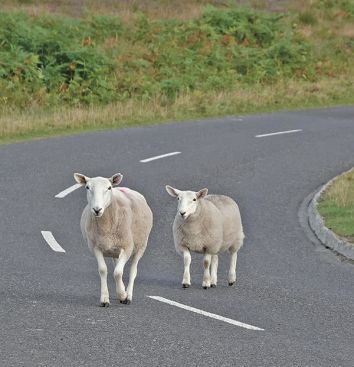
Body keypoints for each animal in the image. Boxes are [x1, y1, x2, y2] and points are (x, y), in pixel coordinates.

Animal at [74, 174, 152, 306]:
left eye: (109, 187)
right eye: (87, 187)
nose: (97, 209)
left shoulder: (127, 247)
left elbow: (118, 273)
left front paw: (123, 295)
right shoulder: (95, 247)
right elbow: (103, 270)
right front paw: (105, 299)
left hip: (141, 246)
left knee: (133, 271)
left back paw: (128, 295)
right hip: (115, 251)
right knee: (117, 266)